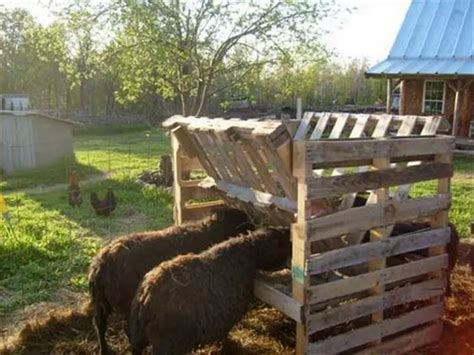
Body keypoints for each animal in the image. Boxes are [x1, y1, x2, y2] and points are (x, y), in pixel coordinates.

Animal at [88, 209, 252, 355]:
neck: (210, 231)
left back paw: (104, 350)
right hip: (126, 303)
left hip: (100, 301)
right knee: (128, 330)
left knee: (100, 324)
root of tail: (101, 264)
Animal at [131, 228, 292, 355]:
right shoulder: (228, 314)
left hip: (138, 336)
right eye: (282, 243)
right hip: (168, 342)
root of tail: (146, 297)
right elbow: (225, 336)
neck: (248, 255)